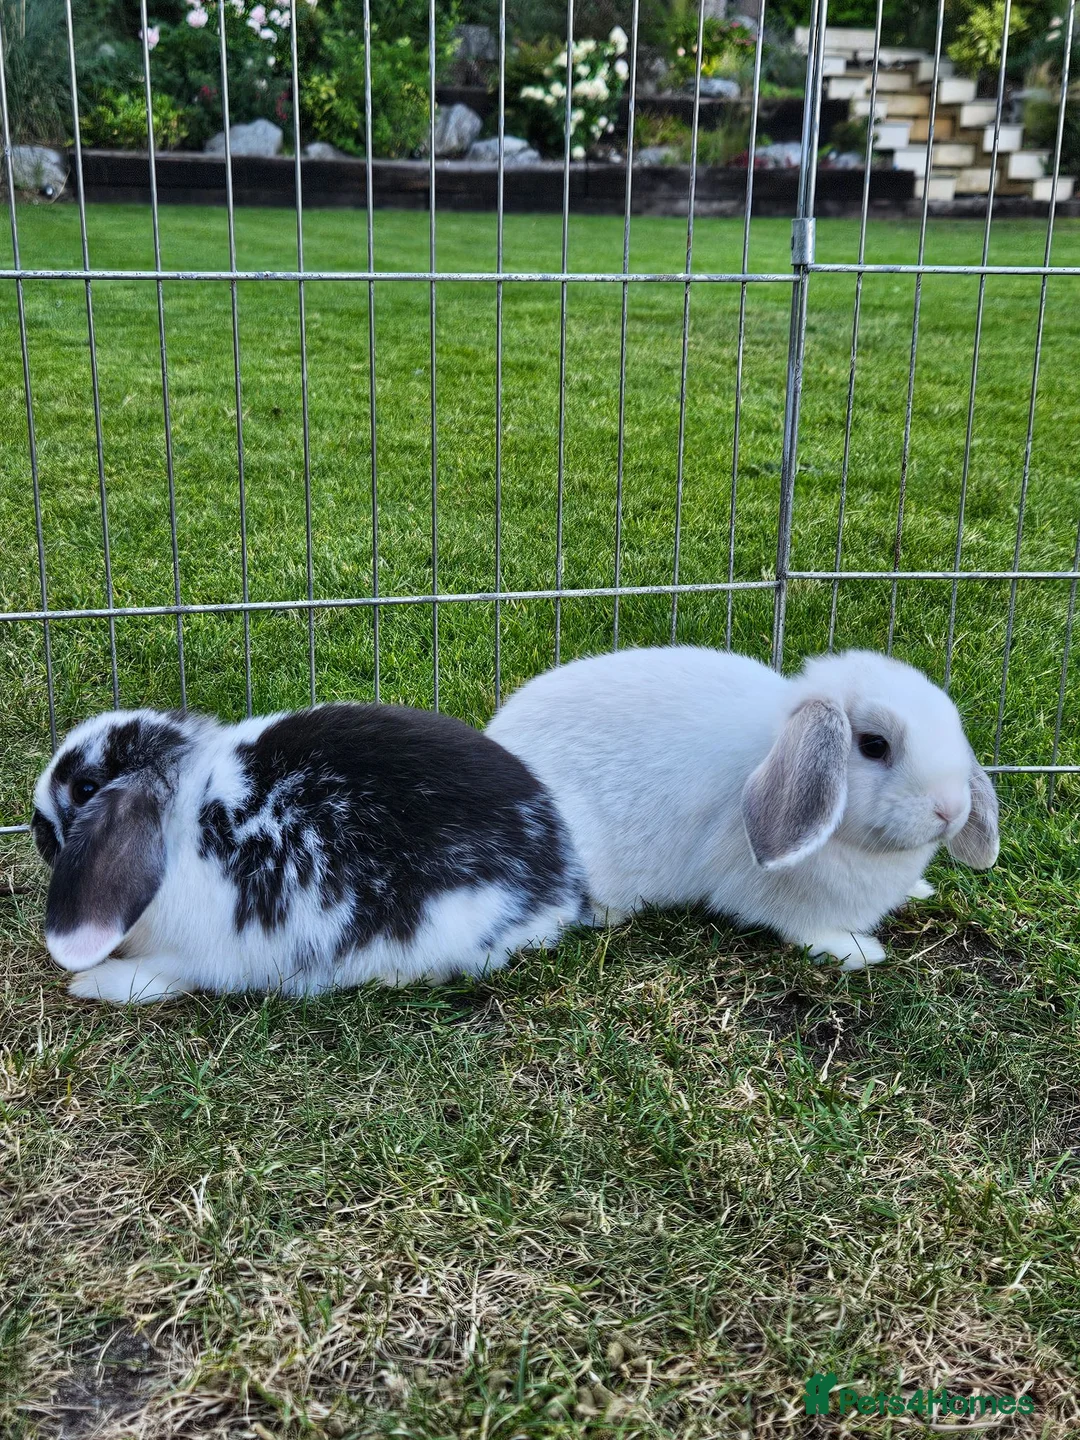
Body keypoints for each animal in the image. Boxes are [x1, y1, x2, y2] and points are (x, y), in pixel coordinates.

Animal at [31, 703, 589, 1003]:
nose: (36, 830)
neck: (182, 816)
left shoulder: (192, 955)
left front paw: (90, 982)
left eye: (84, 788)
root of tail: (561, 885)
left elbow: (160, 978)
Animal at [487, 646, 999, 970]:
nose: (950, 810)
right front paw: (857, 951)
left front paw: (920, 889)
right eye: (874, 745)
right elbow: (805, 929)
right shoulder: (779, 899)